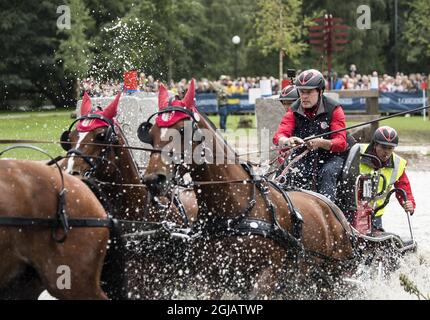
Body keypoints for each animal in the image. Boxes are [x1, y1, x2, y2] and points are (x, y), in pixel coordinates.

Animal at [141, 79, 360, 298]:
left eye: (182, 130)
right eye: (151, 134)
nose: (153, 179)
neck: (234, 208)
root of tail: (334, 212)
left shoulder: (268, 275)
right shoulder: (212, 279)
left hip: (335, 278)